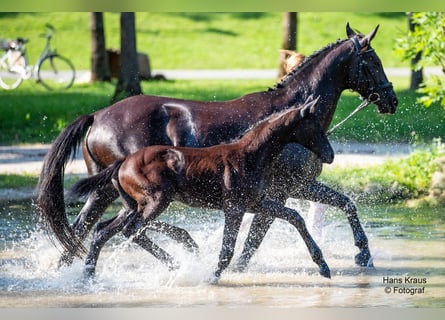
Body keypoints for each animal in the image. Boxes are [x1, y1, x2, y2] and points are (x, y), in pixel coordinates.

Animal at [38, 23, 398, 270]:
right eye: (373, 62)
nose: (391, 100)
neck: (290, 117)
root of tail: (97, 116)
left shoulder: (295, 188)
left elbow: (344, 204)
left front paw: (362, 253)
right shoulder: (285, 189)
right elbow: (257, 235)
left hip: (106, 189)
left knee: (86, 228)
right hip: (135, 192)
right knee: (125, 228)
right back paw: (180, 251)